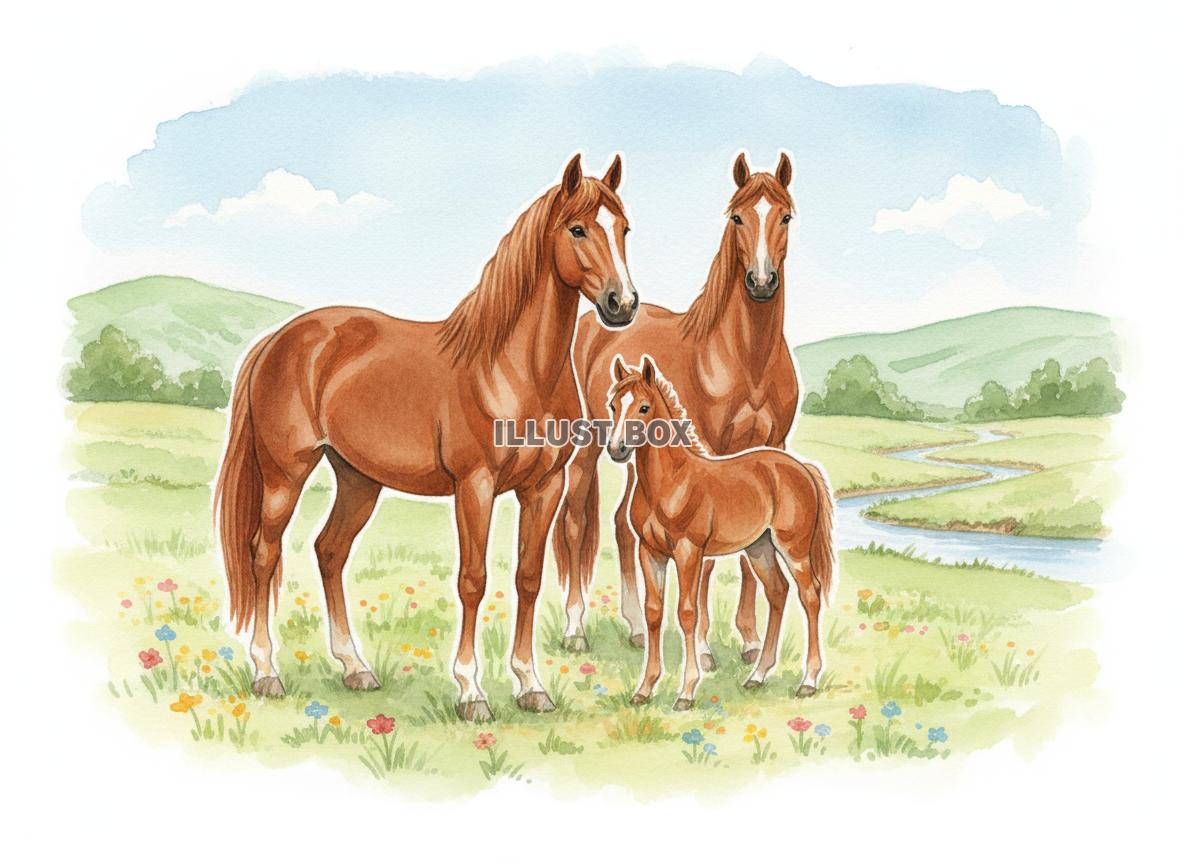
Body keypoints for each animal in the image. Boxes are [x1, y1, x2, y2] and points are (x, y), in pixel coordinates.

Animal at [214, 153, 638, 722]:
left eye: (624, 229)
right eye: (577, 229)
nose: (623, 303)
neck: (514, 370)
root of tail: (279, 339)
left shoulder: (544, 487)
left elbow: (528, 577)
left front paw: (530, 685)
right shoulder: (475, 488)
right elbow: (473, 581)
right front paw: (471, 691)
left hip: (358, 480)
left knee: (330, 551)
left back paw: (355, 668)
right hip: (286, 473)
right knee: (264, 553)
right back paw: (266, 672)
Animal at [553, 153, 800, 667]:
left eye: (786, 216)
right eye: (737, 217)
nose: (761, 282)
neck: (746, 359)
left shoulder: (770, 446)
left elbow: (748, 544)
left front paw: (749, 641)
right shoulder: (712, 448)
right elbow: (705, 564)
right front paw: (703, 648)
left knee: (622, 526)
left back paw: (635, 629)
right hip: (589, 447)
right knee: (575, 522)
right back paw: (575, 628)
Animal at [605, 356, 833, 710]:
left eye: (643, 407)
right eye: (613, 405)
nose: (617, 449)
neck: (670, 482)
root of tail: (801, 468)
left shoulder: (688, 551)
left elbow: (687, 613)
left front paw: (686, 692)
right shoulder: (650, 551)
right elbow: (653, 612)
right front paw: (644, 689)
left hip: (793, 548)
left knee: (809, 595)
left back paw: (808, 681)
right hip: (759, 548)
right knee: (778, 592)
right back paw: (757, 676)